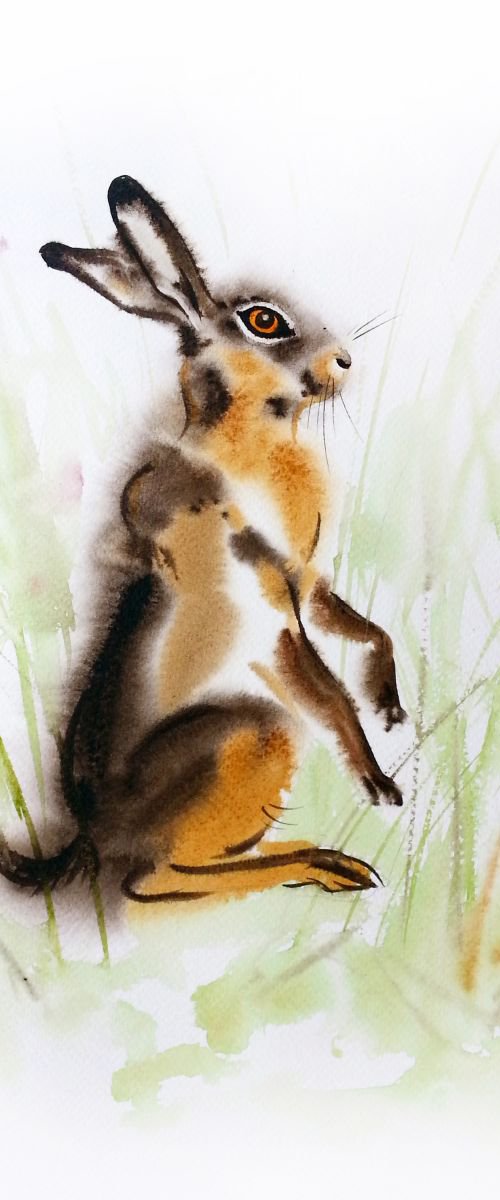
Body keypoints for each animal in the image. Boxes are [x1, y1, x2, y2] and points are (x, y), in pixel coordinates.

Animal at [0, 176, 406, 907]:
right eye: (264, 321)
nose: (345, 361)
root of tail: (94, 835)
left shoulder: (307, 583)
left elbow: (370, 629)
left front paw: (390, 706)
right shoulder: (273, 607)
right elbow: (329, 693)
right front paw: (382, 786)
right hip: (255, 732)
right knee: (150, 881)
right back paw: (327, 865)